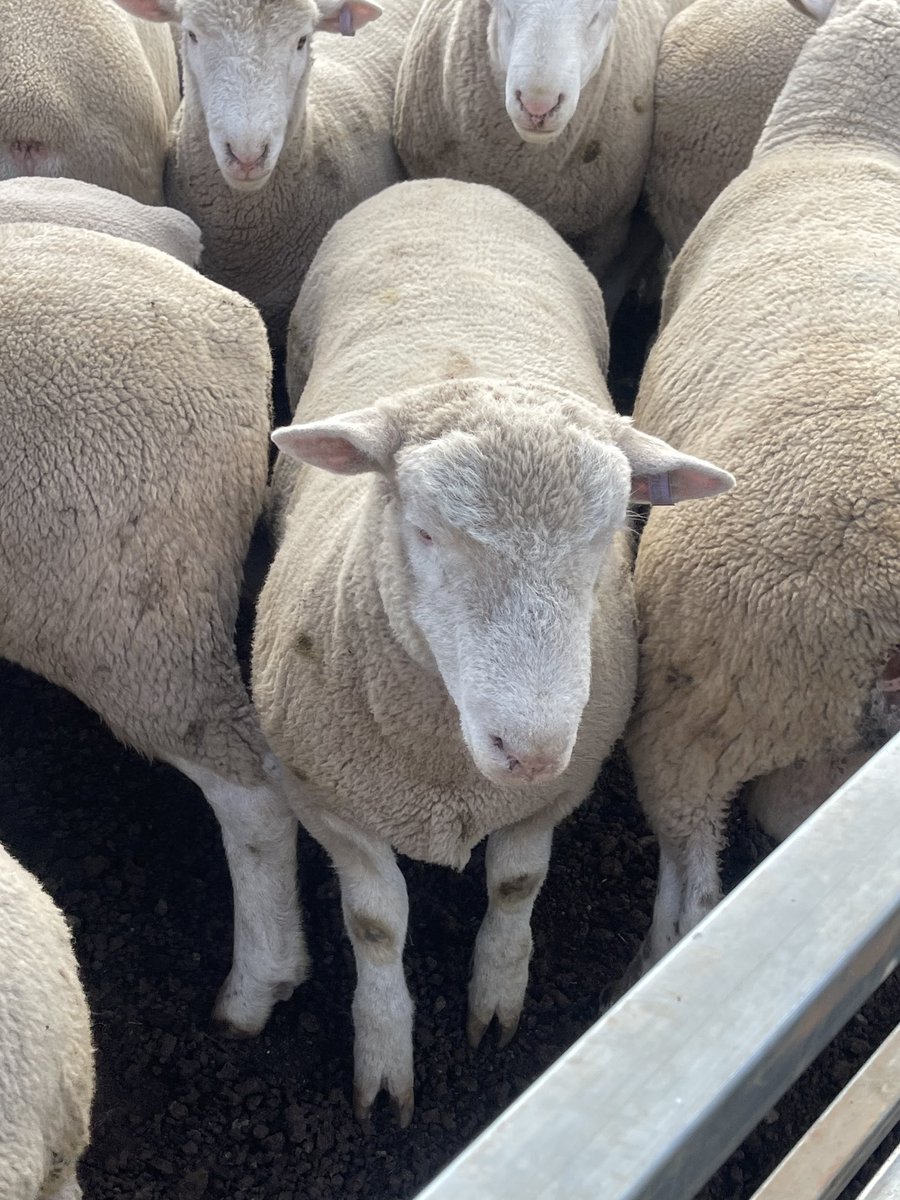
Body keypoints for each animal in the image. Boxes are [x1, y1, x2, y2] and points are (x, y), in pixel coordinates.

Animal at [251, 177, 733, 1124]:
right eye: (425, 532)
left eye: (608, 537)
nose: (532, 747)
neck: (448, 777)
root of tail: (445, 182)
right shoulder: (326, 797)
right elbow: (376, 925)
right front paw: (384, 1063)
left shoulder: (558, 793)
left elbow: (515, 887)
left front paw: (497, 1003)